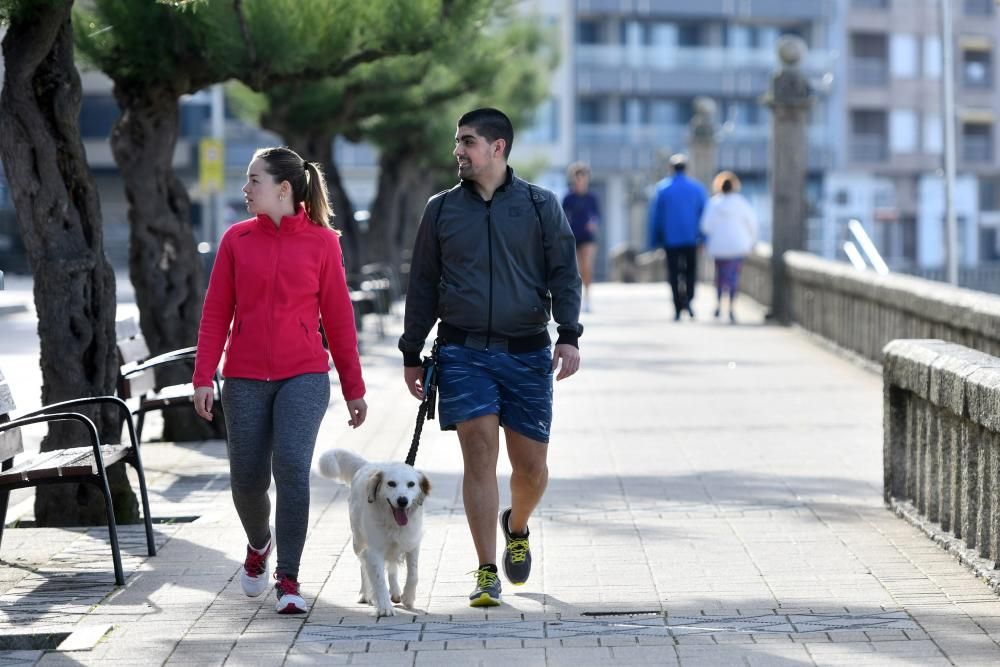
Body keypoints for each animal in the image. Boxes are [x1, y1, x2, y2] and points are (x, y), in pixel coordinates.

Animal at [316, 452, 430, 620]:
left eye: (411, 484)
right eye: (391, 483)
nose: (402, 501)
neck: (393, 523)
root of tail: (367, 465)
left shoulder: (412, 544)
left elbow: (413, 575)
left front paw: (408, 598)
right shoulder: (374, 550)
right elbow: (378, 578)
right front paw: (384, 607)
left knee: (391, 566)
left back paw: (395, 592)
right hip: (358, 542)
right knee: (363, 565)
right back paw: (365, 594)